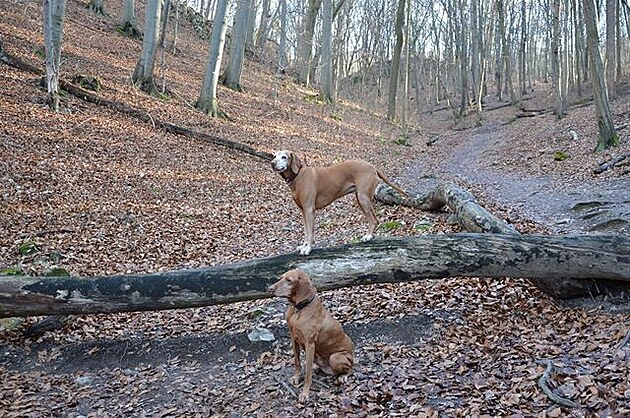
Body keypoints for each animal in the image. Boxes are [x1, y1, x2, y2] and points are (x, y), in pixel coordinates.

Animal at [268, 270, 356, 404]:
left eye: (289, 280)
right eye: (281, 278)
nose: (270, 289)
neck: (299, 310)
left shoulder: (309, 343)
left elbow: (308, 372)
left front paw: (305, 394)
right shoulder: (294, 339)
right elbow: (297, 361)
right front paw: (296, 377)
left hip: (336, 358)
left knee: (350, 369)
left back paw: (343, 377)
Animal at [270, 150, 408, 255]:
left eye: (284, 157)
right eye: (274, 155)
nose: (272, 163)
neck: (298, 176)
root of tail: (372, 166)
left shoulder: (309, 210)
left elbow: (310, 232)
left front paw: (308, 248)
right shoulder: (303, 211)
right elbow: (306, 231)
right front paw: (304, 245)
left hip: (363, 197)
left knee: (374, 220)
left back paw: (368, 236)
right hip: (360, 199)